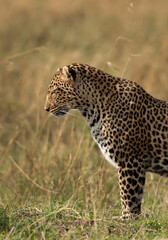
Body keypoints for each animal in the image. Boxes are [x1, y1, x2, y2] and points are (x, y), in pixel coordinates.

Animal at [44, 62, 167, 219]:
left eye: (54, 92)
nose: (46, 109)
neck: (91, 109)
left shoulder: (129, 162)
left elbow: (128, 198)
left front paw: (126, 220)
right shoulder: (136, 166)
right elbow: (136, 201)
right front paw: (134, 221)